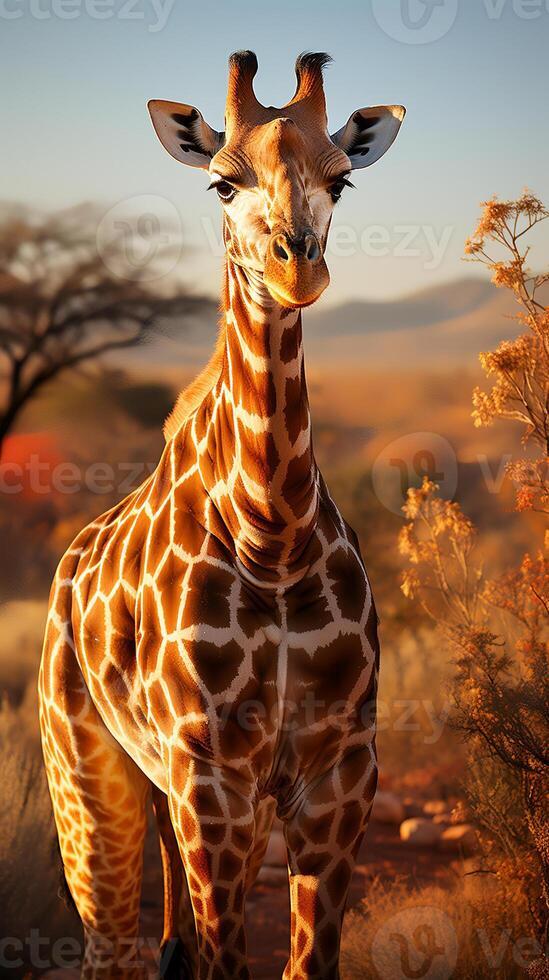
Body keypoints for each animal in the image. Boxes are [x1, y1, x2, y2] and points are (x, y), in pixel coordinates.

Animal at [38, 49, 402, 976]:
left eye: (342, 179)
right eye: (220, 182)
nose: (296, 267)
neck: (272, 533)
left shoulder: (339, 774)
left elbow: (304, 963)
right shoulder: (212, 775)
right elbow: (223, 961)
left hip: (160, 790)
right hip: (89, 779)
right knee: (111, 947)